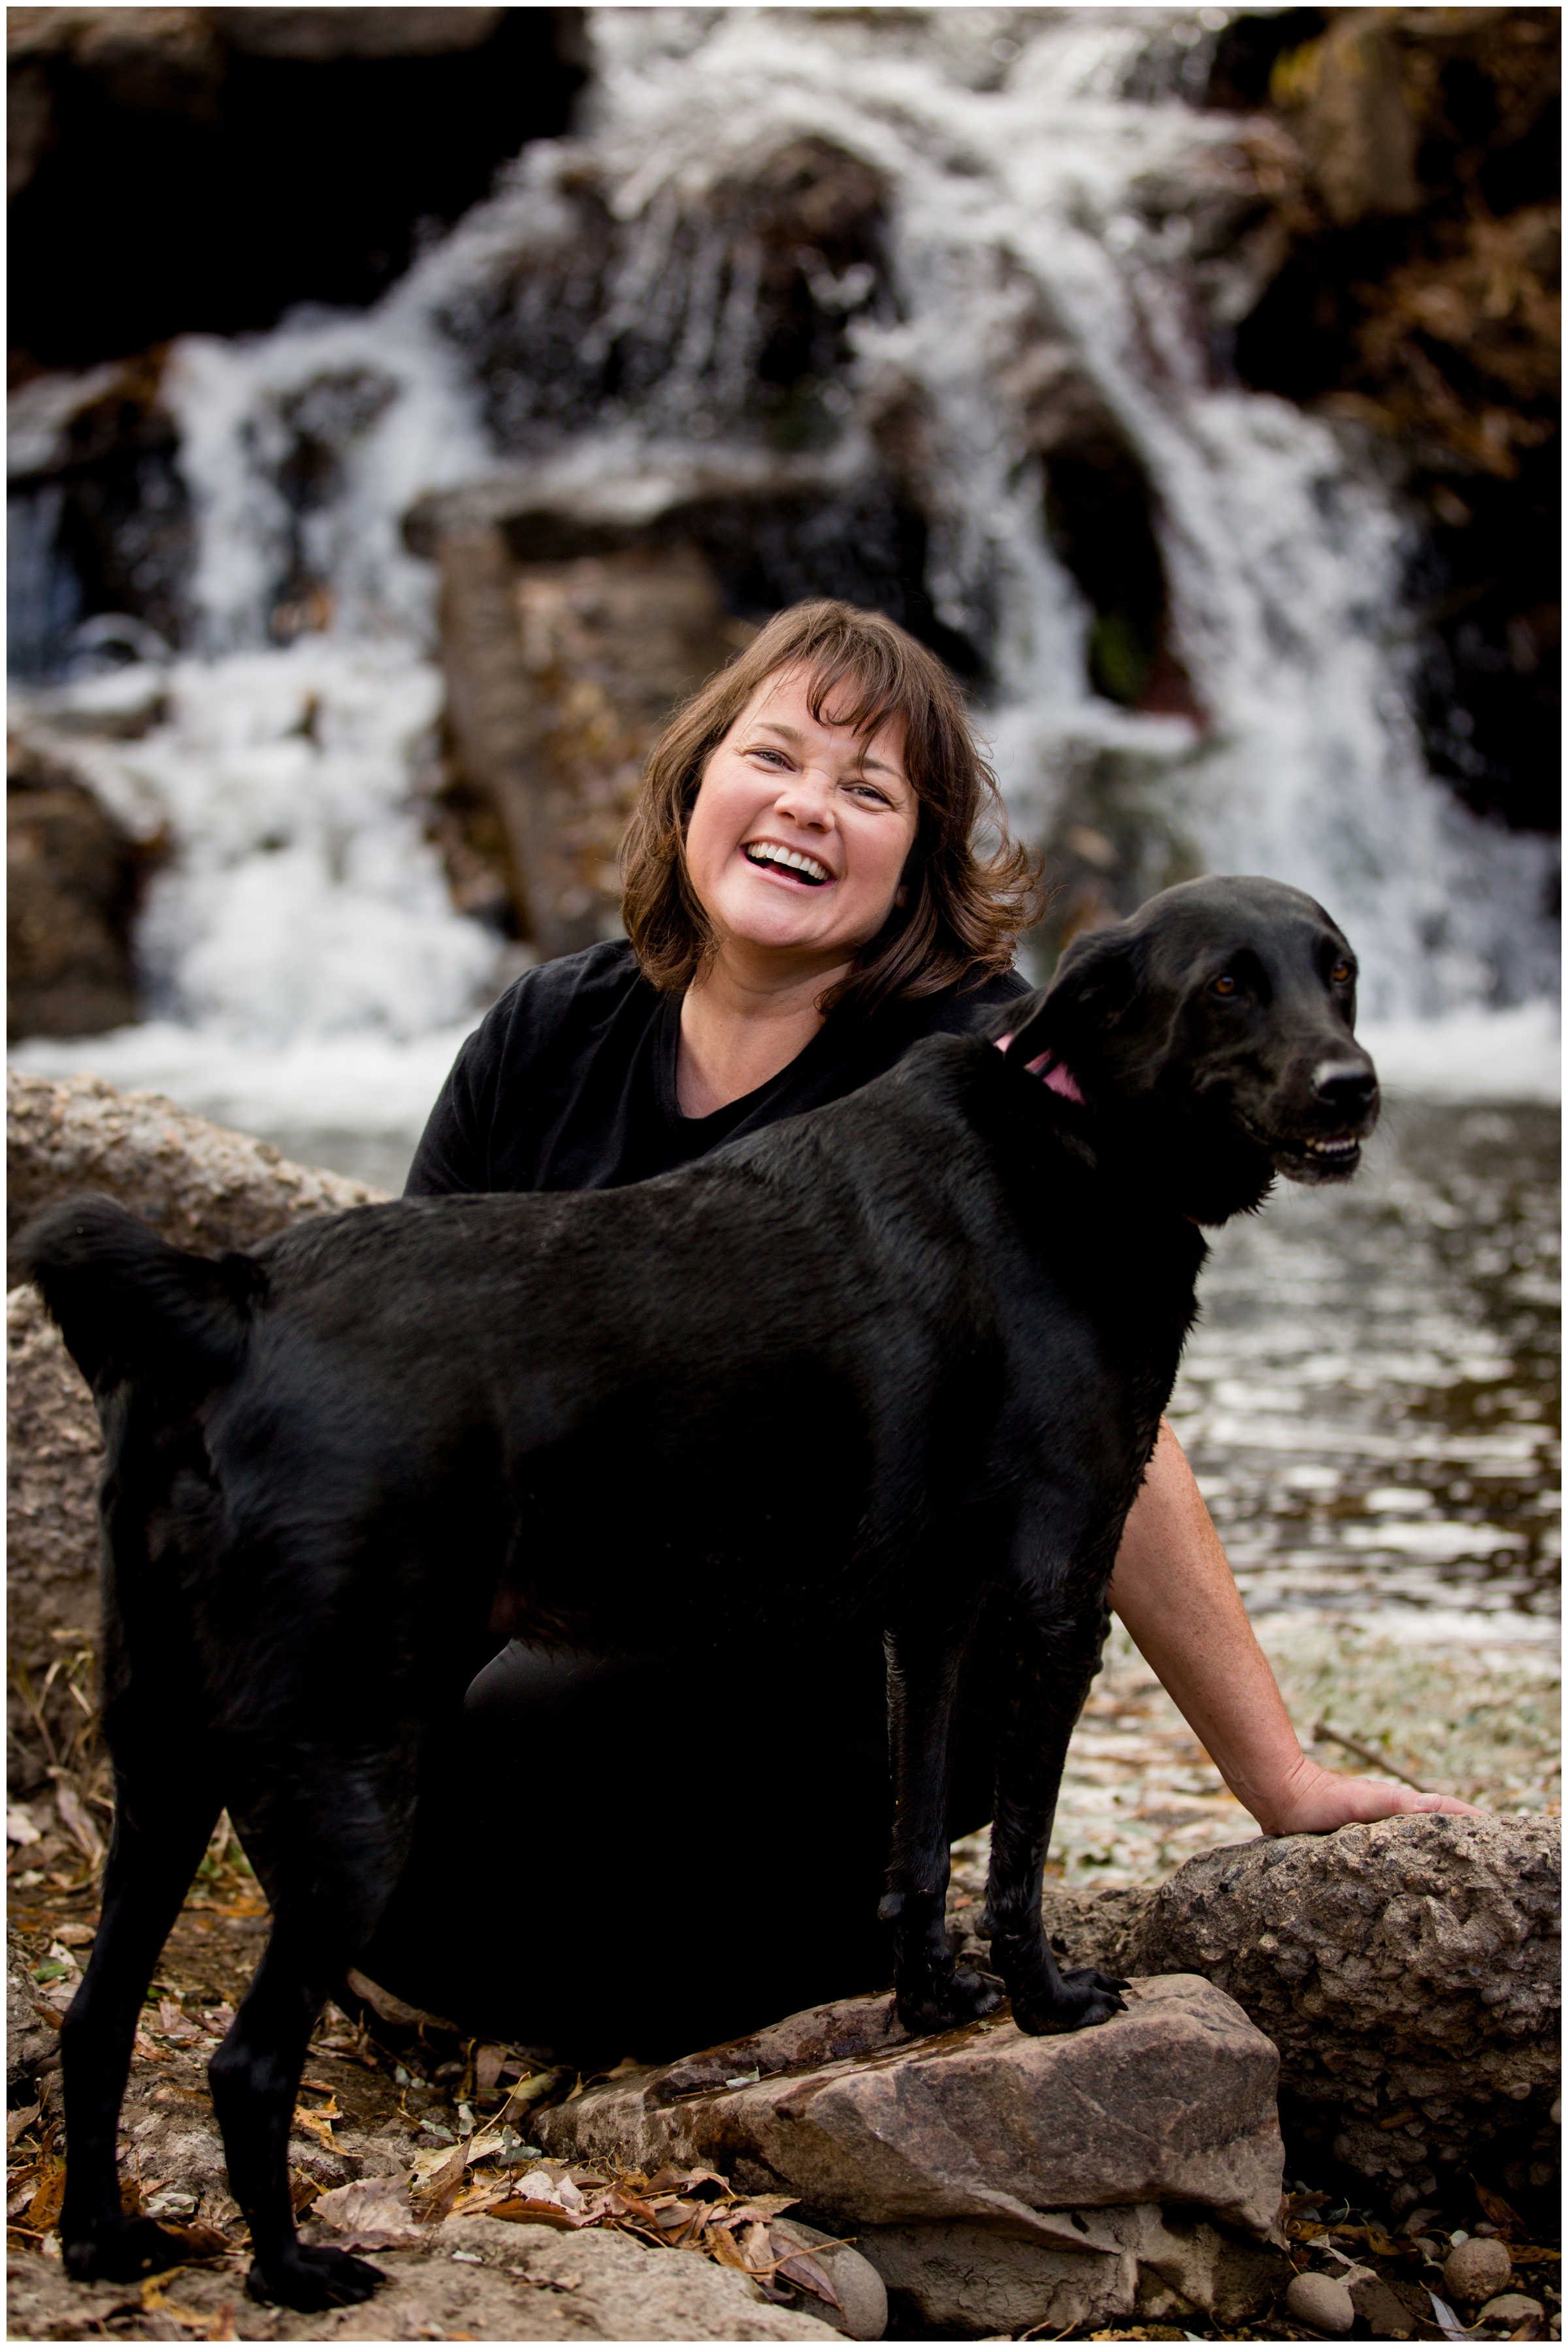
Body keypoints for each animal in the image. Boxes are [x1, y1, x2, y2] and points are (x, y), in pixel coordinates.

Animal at [21, 878, 1371, 2310]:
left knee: (96, 2014)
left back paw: (102, 2239)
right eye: (1226, 985)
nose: (1357, 1084)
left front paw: (932, 2000)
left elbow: (914, 1846)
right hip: (352, 1774)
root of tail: (231, 1307)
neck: (1073, 1132)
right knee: (249, 2057)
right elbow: (1016, 1852)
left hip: (164, 1754)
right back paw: (292, 2268)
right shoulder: (1058, 1590)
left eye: (1339, 971)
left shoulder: (937, 1612)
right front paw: (1046, 2002)